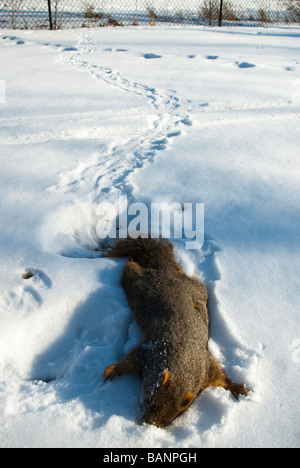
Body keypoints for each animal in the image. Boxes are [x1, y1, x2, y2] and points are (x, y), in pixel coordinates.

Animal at [103, 239, 248, 426]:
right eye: (149, 399)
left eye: (172, 417)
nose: (146, 422)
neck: (182, 361)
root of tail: (166, 270)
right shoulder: (148, 352)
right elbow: (128, 359)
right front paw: (112, 370)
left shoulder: (205, 368)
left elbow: (220, 376)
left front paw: (236, 387)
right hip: (137, 284)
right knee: (131, 270)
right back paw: (132, 260)